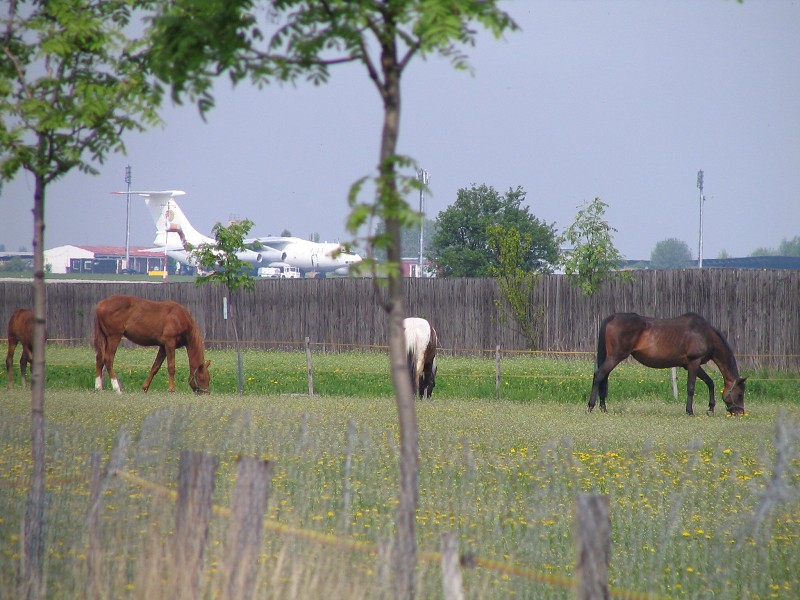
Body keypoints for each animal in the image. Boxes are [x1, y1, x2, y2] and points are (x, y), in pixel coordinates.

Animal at [588, 314, 752, 418]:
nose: (740, 413)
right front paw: (690, 411)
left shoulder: (690, 365)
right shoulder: (694, 362)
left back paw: (603, 407)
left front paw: (710, 409)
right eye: (739, 394)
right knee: (599, 376)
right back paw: (591, 406)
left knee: (603, 378)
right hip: (615, 357)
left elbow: (710, 383)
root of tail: (613, 317)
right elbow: (691, 388)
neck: (705, 334)